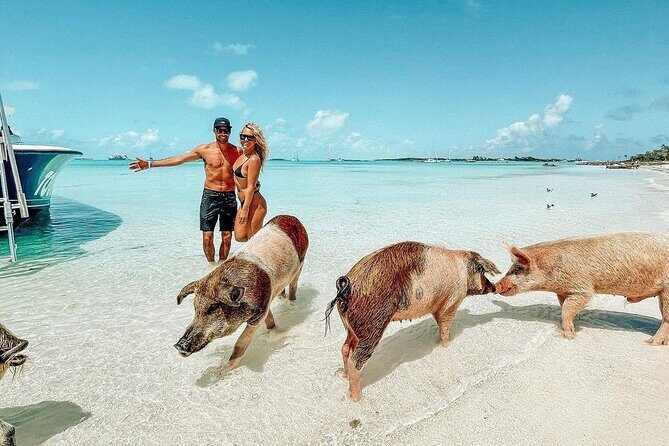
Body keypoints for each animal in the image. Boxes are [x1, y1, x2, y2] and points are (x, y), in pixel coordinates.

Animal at [174, 215, 308, 374]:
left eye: (213, 308)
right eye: (195, 308)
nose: (178, 346)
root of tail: (292, 217)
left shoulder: (258, 315)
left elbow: (240, 344)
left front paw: (221, 372)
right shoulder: (266, 304)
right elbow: (269, 320)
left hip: (301, 263)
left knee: (294, 285)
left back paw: (292, 304)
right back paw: (282, 299)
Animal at [325, 241, 499, 401]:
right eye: (483, 272)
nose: (495, 288)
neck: (464, 271)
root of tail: (347, 287)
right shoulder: (452, 301)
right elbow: (444, 327)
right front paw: (446, 345)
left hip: (353, 328)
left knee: (345, 348)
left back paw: (344, 376)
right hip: (372, 326)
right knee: (355, 360)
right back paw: (356, 398)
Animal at [495, 232, 669, 344]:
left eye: (518, 269)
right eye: (511, 267)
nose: (496, 285)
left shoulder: (583, 287)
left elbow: (568, 308)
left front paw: (569, 336)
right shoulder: (563, 290)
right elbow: (564, 306)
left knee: (666, 319)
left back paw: (651, 342)